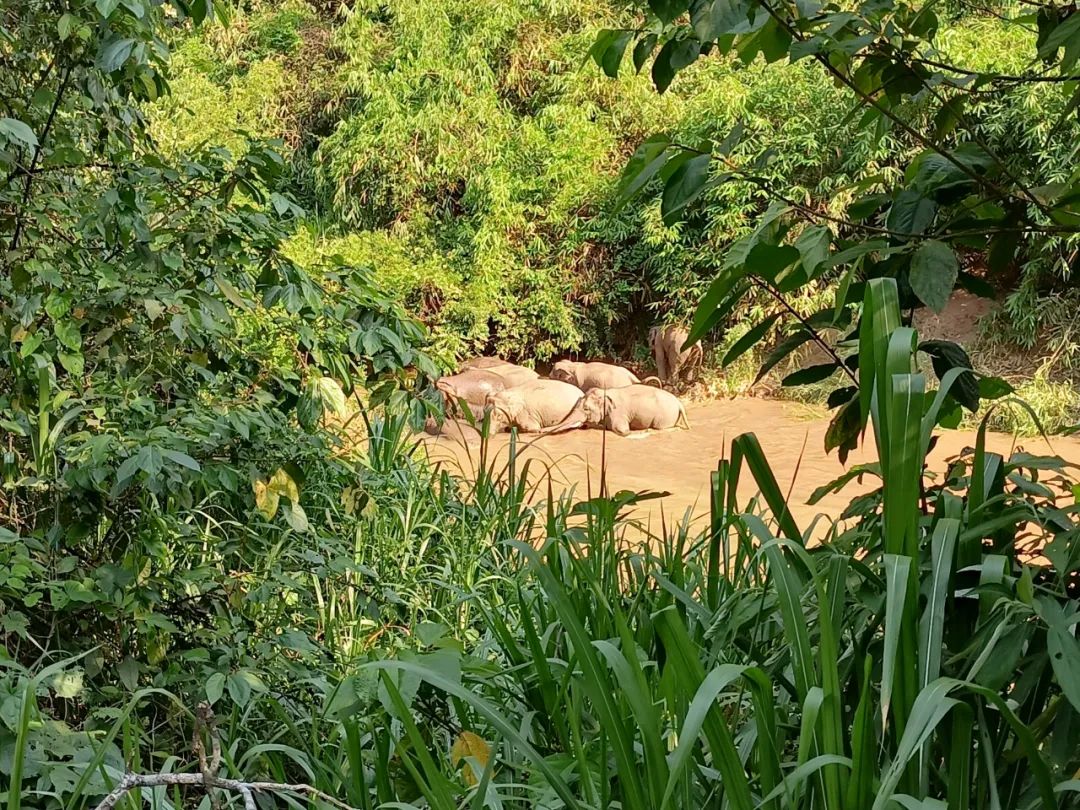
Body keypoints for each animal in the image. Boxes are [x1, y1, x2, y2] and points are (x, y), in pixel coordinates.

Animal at [548, 384, 691, 438]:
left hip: (664, 417)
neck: (605, 392)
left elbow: (622, 431)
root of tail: (679, 402)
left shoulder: (617, 413)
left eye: (586, 408)